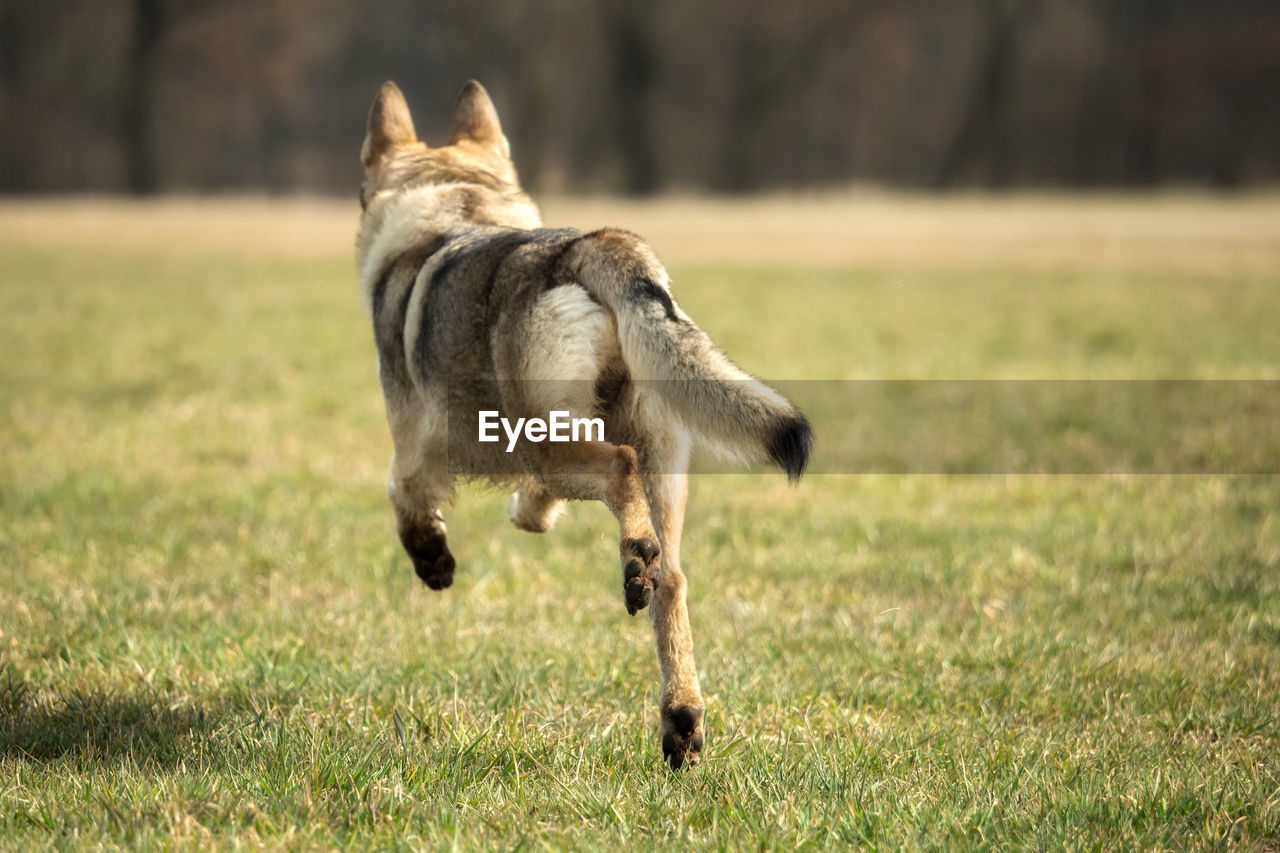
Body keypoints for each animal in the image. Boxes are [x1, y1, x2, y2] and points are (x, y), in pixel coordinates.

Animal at [353, 81, 808, 768]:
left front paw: (435, 563)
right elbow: (531, 508)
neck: (455, 211)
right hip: (658, 464)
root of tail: (596, 245)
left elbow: (403, 500)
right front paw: (528, 516)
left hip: (561, 449)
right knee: (672, 580)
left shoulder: (413, 447)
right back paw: (680, 717)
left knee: (621, 474)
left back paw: (634, 560)